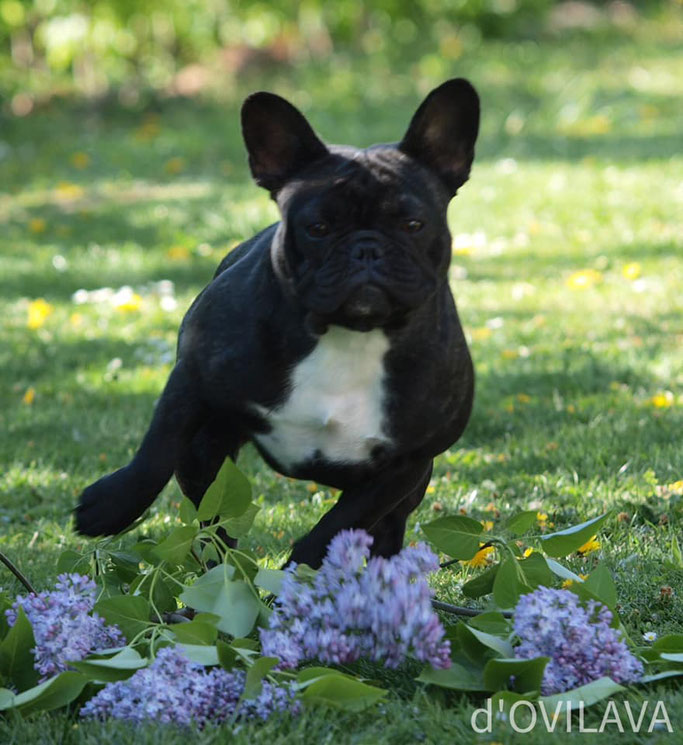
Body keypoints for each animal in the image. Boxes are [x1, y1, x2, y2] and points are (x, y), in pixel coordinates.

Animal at [75, 80, 478, 568]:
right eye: (318, 227)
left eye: (414, 224)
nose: (366, 249)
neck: (348, 335)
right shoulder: (193, 375)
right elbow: (157, 447)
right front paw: (108, 506)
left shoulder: (407, 462)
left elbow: (344, 521)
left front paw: (298, 571)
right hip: (206, 450)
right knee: (211, 516)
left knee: (388, 524)